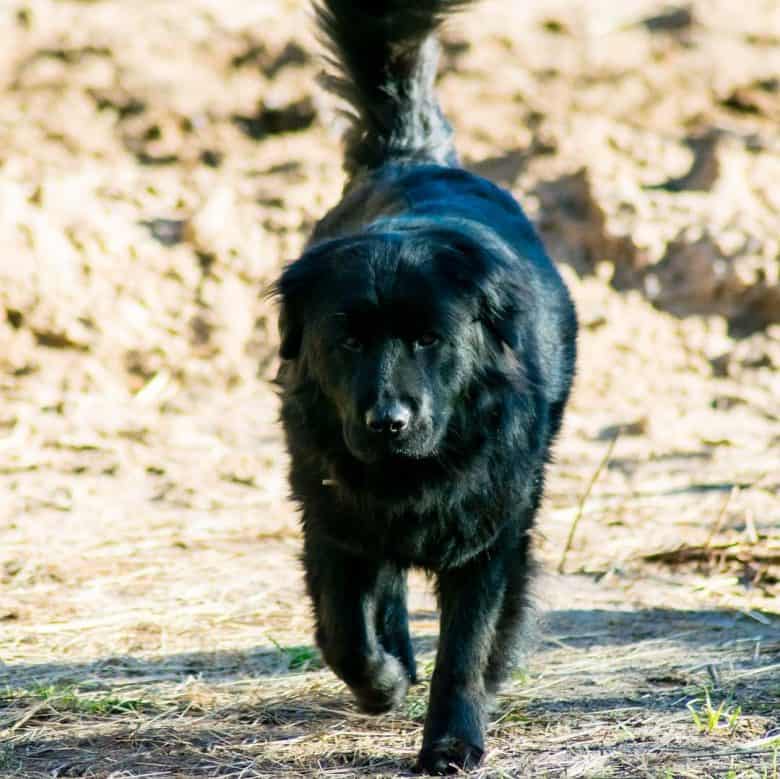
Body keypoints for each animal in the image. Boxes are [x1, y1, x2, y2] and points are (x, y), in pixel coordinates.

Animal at [272, 3, 576, 772]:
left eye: (429, 338)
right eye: (348, 339)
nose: (389, 421)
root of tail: (417, 158)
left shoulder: (491, 535)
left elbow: (466, 649)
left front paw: (452, 740)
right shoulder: (331, 512)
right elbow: (345, 627)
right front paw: (383, 680)